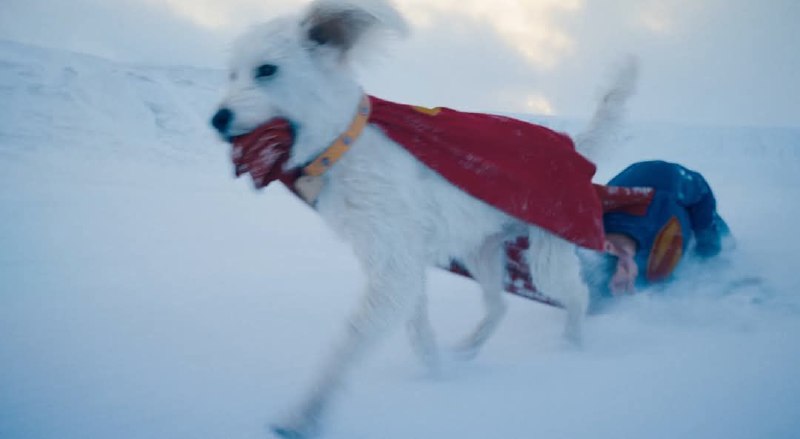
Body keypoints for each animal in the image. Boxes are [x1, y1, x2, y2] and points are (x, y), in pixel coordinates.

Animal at [211, 1, 636, 438]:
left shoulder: (395, 267)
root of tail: (576, 150)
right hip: (480, 250)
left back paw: (573, 346)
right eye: (232, 73)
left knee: (577, 296)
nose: (218, 119)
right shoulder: (398, 263)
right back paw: (468, 348)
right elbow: (417, 329)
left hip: (547, 254)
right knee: (498, 306)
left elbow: (350, 340)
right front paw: (435, 373)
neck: (345, 147)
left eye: (266, 70)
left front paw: (304, 413)